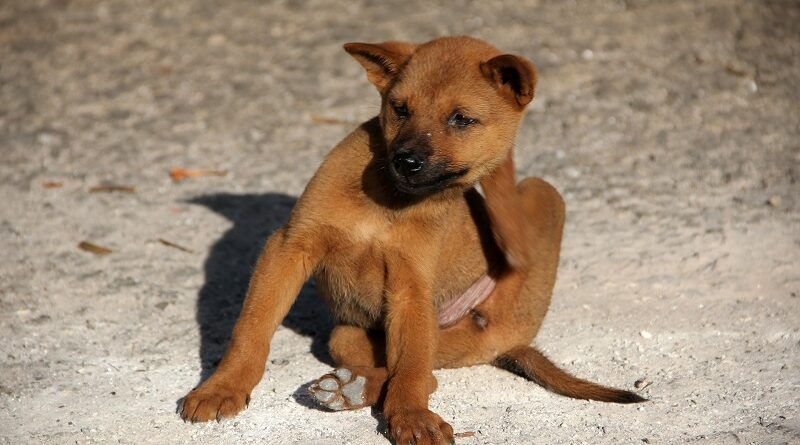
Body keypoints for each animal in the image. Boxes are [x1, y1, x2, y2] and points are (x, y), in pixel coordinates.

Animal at [180, 35, 644, 444]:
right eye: (399, 109)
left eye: (461, 119)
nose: (406, 161)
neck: (389, 201)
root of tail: (514, 341)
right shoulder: (289, 247)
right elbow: (251, 329)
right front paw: (222, 387)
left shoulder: (411, 288)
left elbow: (411, 370)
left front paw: (412, 418)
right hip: (347, 334)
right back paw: (347, 386)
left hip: (538, 198)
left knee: (426, 372)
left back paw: (349, 389)